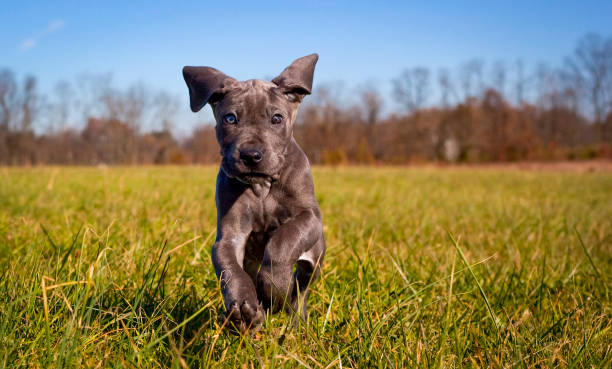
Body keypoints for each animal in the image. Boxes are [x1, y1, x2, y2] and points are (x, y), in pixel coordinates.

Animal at [182, 54, 326, 334]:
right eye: (230, 119)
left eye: (277, 119)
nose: (251, 155)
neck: (262, 186)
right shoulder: (230, 236)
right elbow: (230, 270)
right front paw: (244, 308)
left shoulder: (310, 217)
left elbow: (283, 239)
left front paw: (274, 288)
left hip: (314, 259)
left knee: (300, 290)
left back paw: (294, 317)